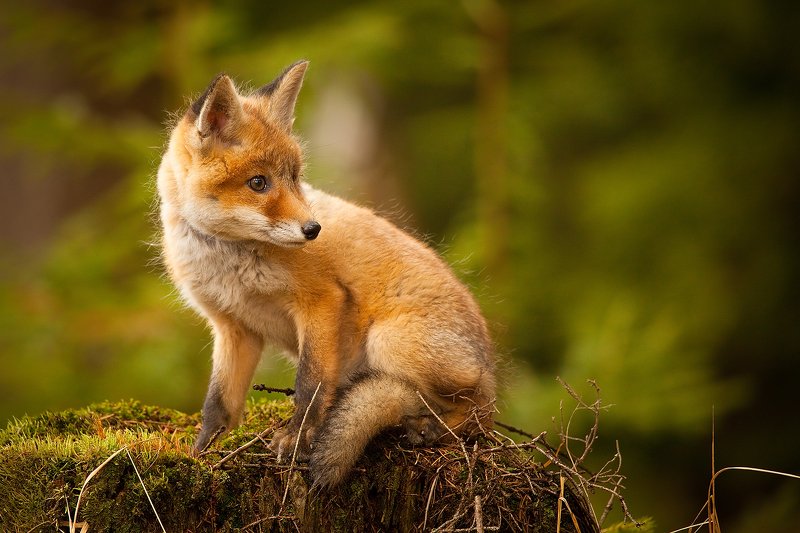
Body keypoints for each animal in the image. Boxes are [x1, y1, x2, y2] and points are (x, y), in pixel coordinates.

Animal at [157, 60, 496, 488]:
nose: (313, 229)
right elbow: (218, 405)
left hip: (392, 342)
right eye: (258, 183)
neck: (230, 264)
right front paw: (201, 455)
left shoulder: (322, 300)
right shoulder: (234, 328)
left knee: (482, 410)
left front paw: (297, 440)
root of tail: (489, 361)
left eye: (294, 177)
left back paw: (438, 427)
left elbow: (310, 384)